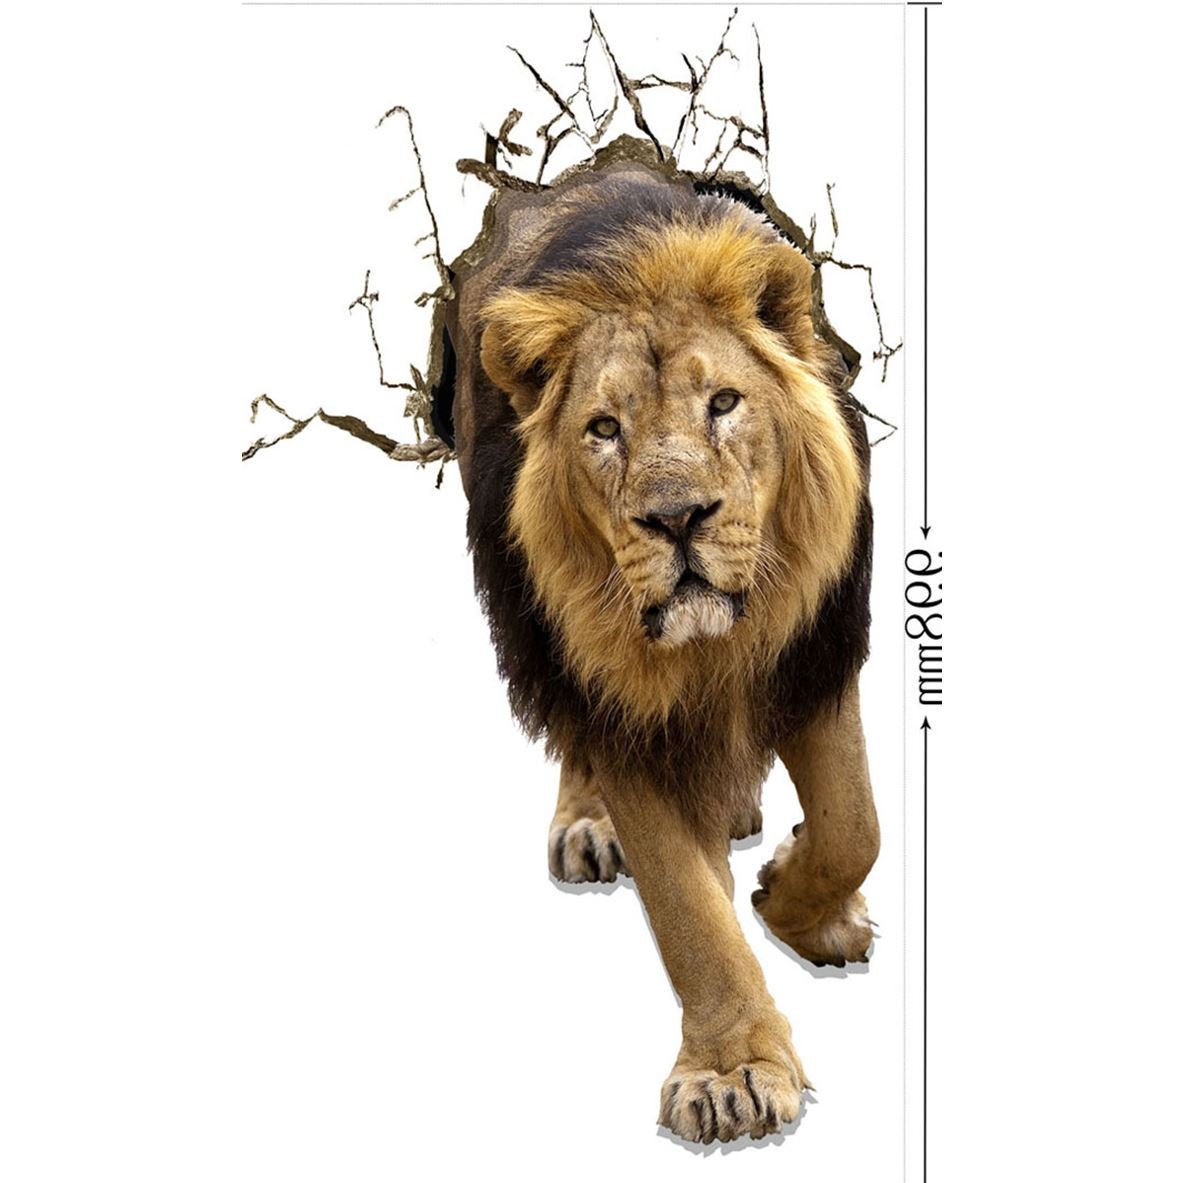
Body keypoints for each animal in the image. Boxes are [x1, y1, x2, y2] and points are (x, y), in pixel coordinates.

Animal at [439, 152, 880, 1145]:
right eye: (603, 429)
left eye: (723, 403)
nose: (677, 517)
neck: (713, 647)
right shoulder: (620, 706)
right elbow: (686, 906)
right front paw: (732, 1070)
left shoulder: (817, 650)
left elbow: (851, 824)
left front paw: (799, 903)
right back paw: (594, 824)